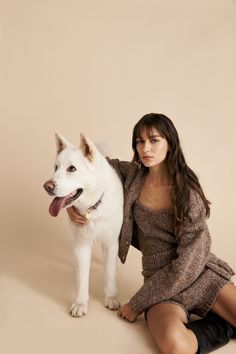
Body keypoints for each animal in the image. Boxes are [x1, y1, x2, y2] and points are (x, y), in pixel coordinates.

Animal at [43, 133, 123, 318]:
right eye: (55, 168)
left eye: (71, 169)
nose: (47, 186)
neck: (93, 209)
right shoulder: (81, 245)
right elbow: (82, 278)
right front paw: (80, 304)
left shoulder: (110, 243)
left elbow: (110, 274)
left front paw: (111, 298)